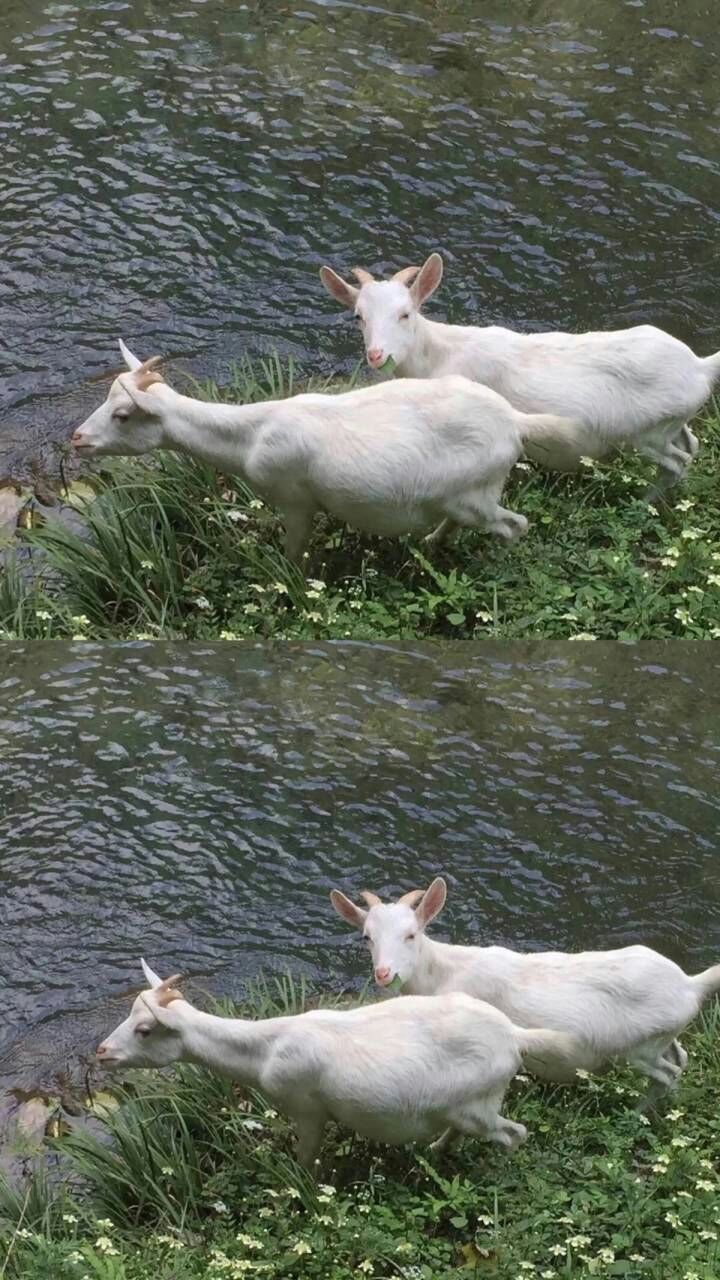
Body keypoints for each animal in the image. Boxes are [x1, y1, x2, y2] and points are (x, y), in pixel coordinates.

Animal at [70, 340, 579, 560]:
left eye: (122, 414)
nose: (77, 438)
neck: (251, 436)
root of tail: (516, 422)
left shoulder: (295, 499)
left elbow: (295, 554)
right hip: (463, 495)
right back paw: (429, 546)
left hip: (478, 493)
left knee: (515, 526)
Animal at [96, 957, 576, 1167]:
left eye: (145, 1029)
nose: (102, 1052)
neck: (266, 1049)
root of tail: (515, 1036)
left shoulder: (307, 1108)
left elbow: (306, 1159)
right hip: (467, 1106)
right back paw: (435, 1152)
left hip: (481, 1103)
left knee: (515, 1134)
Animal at [319, 253, 717, 483]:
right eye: (358, 317)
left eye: (406, 314)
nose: (376, 355)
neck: (440, 353)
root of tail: (700, 366)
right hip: (672, 425)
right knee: (692, 444)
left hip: (649, 434)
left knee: (679, 461)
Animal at [330, 880, 717, 1100]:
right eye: (367, 937)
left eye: (411, 934)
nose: (384, 973)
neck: (443, 971)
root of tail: (690, 984)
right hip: (663, 1039)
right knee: (680, 1058)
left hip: (641, 1049)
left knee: (668, 1073)